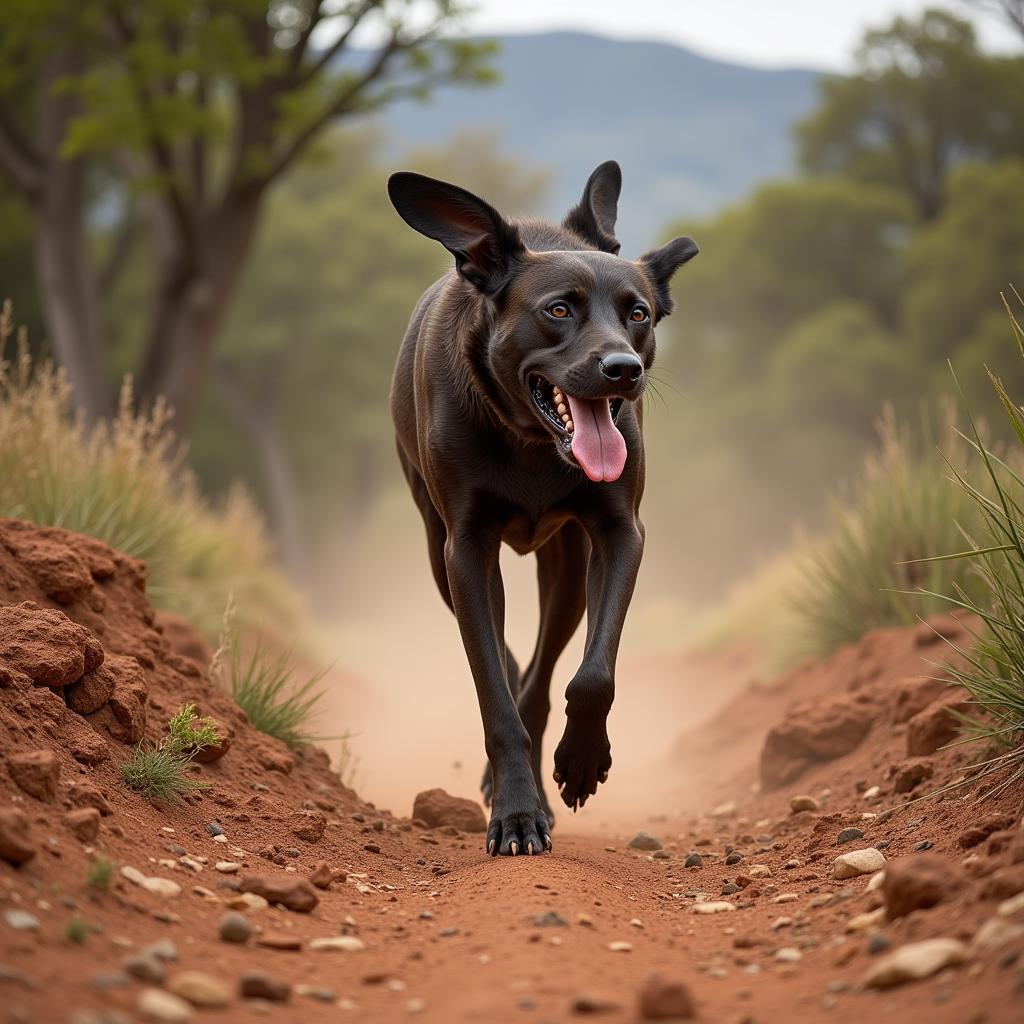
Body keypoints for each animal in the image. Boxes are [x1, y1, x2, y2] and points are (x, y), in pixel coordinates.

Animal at [387, 161, 700, 856]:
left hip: (565, 566)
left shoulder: (619, 532)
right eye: (558, 310)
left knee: (543, 667)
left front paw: (579, 764)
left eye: (639, 313)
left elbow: (591, 675)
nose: (623, 368)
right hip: (436, 550)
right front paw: (516, 817)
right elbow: (495, 694)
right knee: (506, 664)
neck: (530, 442)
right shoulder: (466, 546)